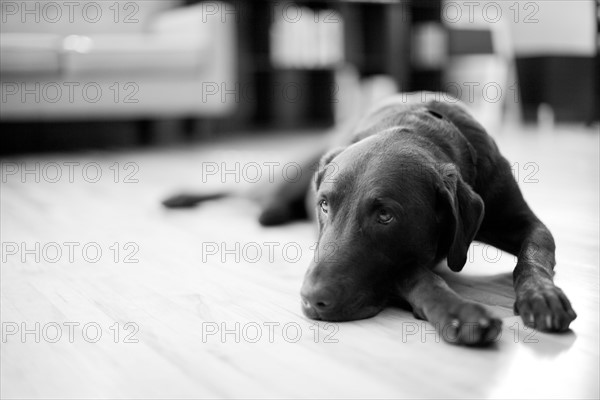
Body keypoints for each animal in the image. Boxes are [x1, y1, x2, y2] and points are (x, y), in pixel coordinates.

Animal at [164, 92, 576, 346]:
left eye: (385, 216)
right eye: (325, 205)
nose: (311, 300)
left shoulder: (524, 221)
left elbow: (534, 256)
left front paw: (542, 296)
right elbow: (417, 275)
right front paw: (458, 311)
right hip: (280, 185)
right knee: (243, 192)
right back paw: (179, 196)